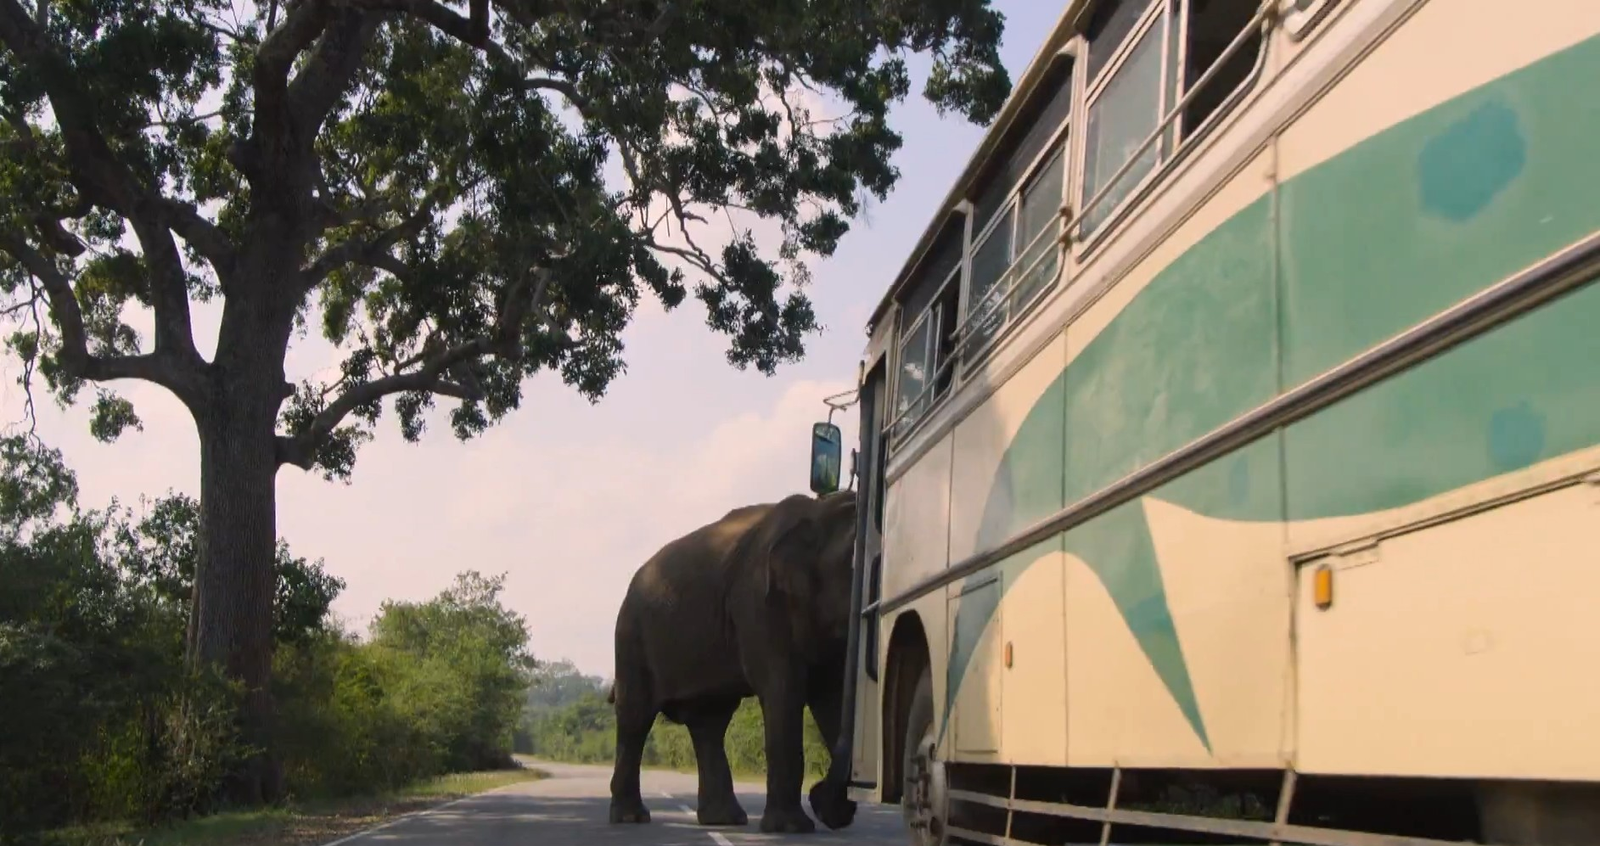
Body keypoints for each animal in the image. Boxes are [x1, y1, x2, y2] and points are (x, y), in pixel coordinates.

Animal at [607, 489, 861, 834]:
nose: (821, 795)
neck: (820, 510)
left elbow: (830, 696)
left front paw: (830, 812)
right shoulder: (758, 604)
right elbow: (784, 691)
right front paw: (791, 828)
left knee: (709, 724)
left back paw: (724, 819)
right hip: (632, 635)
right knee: (636, 717)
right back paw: (631, 818)